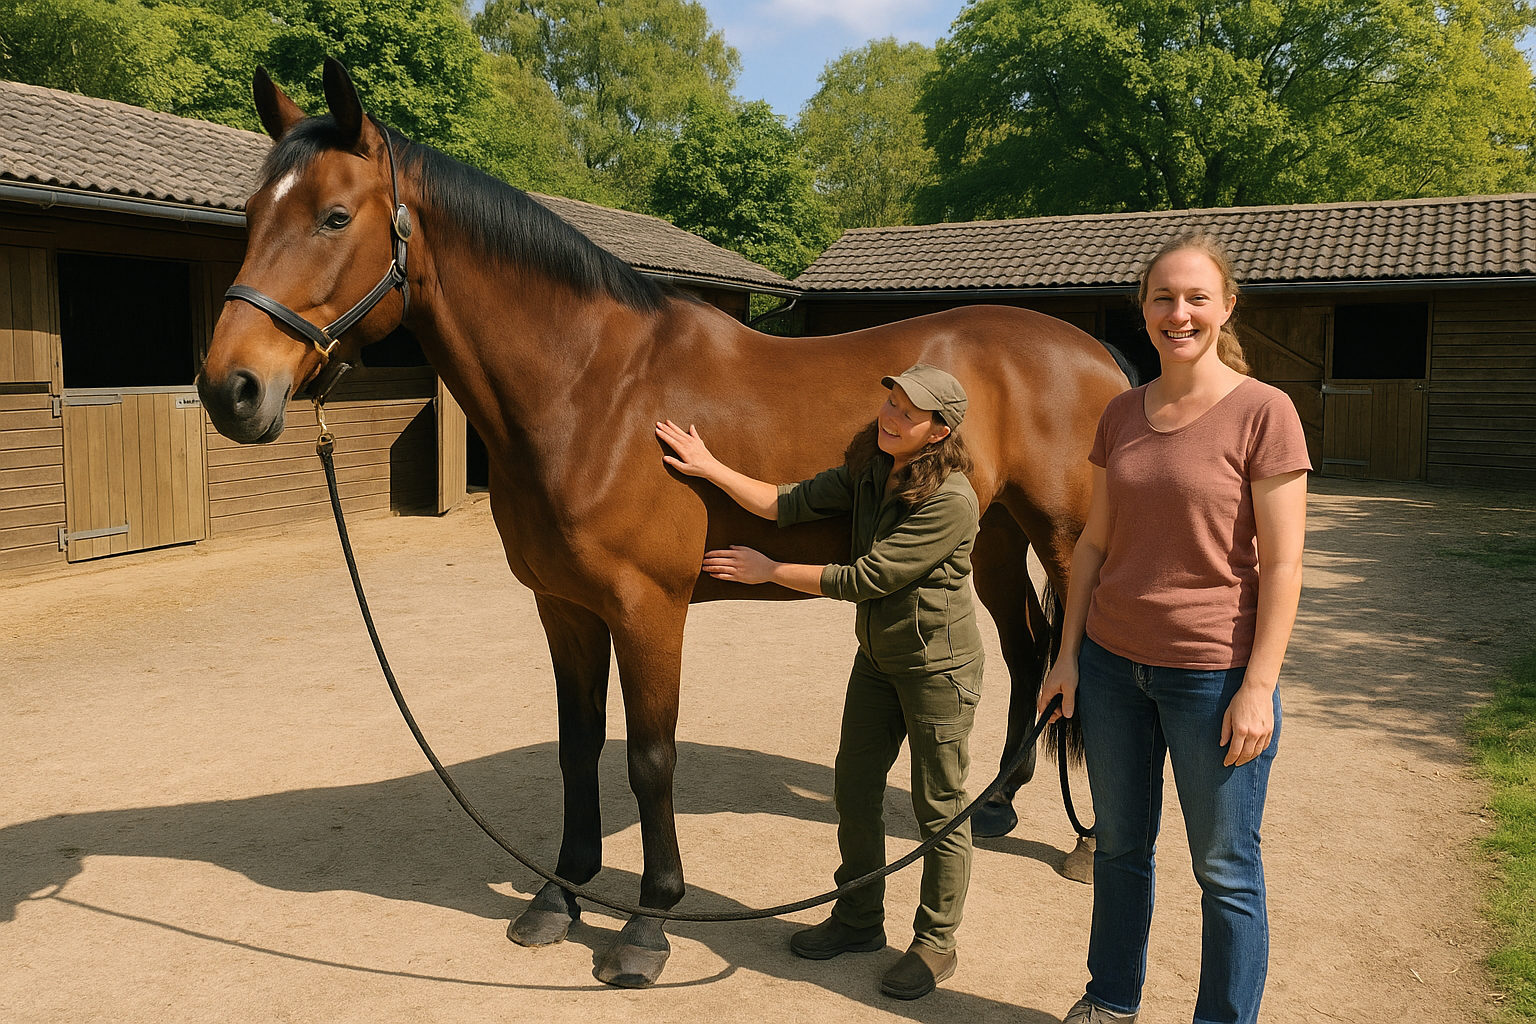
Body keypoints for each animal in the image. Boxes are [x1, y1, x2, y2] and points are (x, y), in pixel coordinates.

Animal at [196, 59, 1129, 988]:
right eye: (250, 214)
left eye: (334, 216)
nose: (229, 389)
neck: (595, 391)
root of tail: (1098, 355)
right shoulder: (565, 608)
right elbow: (579, 748)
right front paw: (559, 897)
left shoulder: (648, 609)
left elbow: (650, 759)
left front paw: (646, 926)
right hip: (993, 541)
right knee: (1027, 650)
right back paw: (999, 804)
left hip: (1063, 542)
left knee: (1078, 667)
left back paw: (1086, 847)